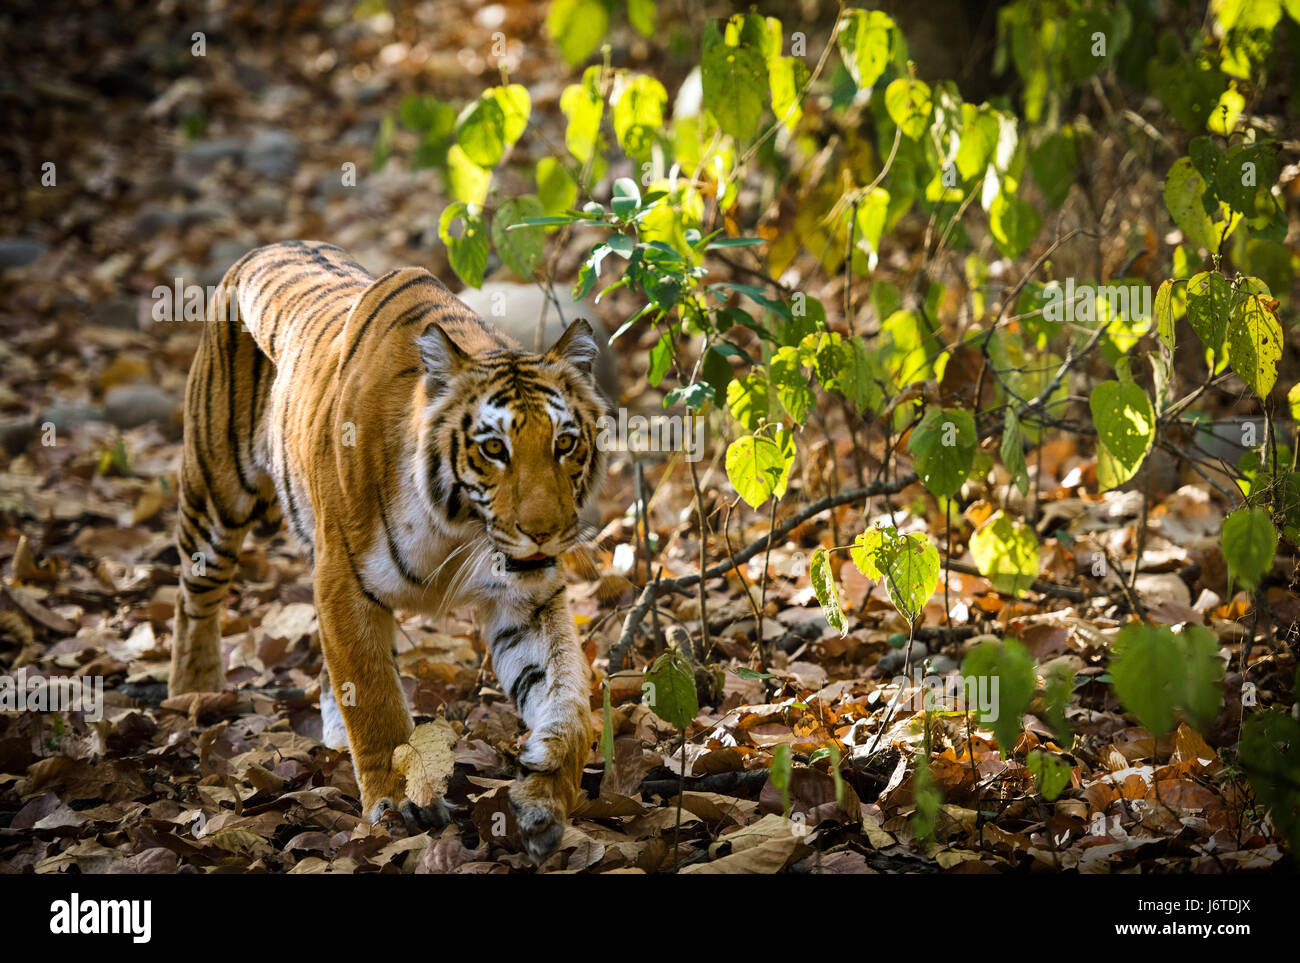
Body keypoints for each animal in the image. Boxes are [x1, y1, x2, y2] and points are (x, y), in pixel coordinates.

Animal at [170, 239, 611, 857]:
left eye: (565, 443)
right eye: (494, 449)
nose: (543, 531)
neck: (457, 528)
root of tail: (263, 248)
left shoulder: (525, 598)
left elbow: (568, 696)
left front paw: (543, 798)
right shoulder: (343, 583)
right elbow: (375, 700)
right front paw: (400, 804)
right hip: (216, 493)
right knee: (195, 597)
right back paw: (193, 693)